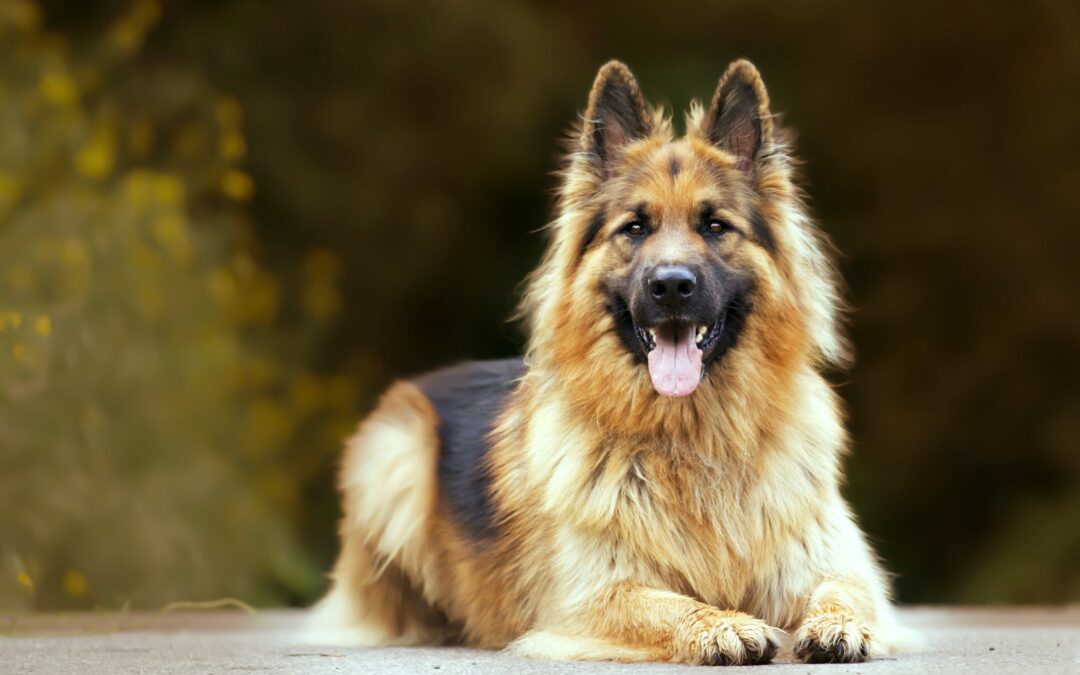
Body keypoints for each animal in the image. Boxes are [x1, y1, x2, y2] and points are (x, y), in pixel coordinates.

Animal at [313, 59, 911, 665]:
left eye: (715, 226)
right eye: (635, 227)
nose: (671, 286)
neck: (691, 439)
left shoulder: (825, 560)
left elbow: (845, 589)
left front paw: (839, 625)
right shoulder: (592, 596)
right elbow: (665, 604)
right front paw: (721, 624)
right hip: (397, 458)